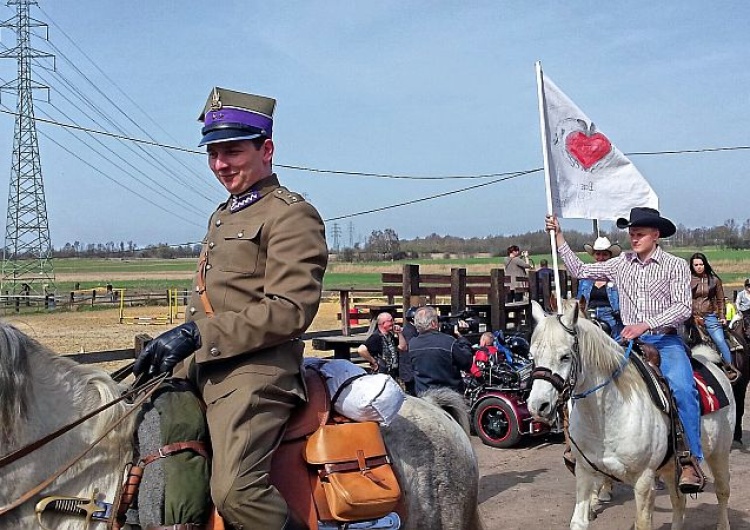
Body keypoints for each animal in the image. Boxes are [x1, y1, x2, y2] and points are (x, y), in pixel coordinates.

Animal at [528, 302, 736, 528]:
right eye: (532, 356)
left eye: (565, 356)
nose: (537, 405)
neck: (605, 419)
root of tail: (709, 362)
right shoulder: (584, 471)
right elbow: (579, 521)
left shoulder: (644, 480)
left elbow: (642, 523)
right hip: (672, 467)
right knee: (679, 501)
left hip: (719, 453)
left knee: (722, 491)